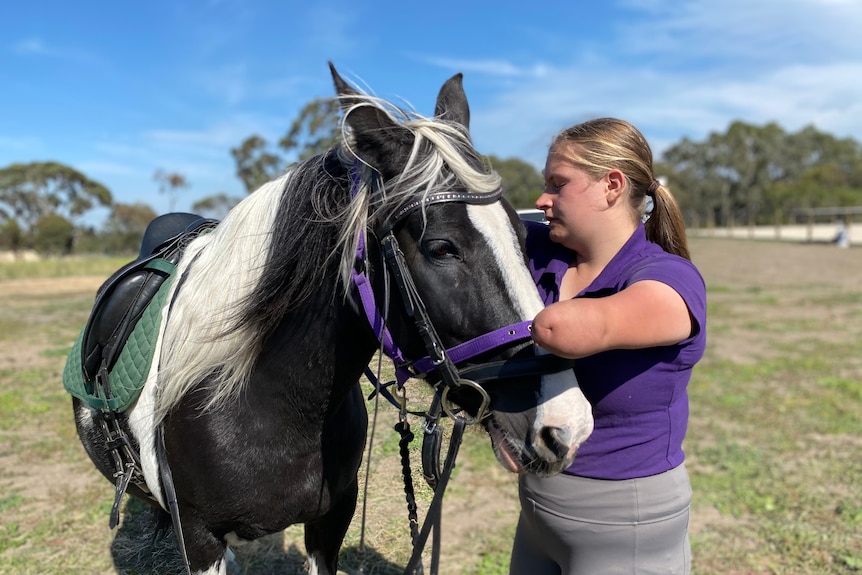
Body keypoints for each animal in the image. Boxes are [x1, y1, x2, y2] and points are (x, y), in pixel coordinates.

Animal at [71, 63, 592, 575]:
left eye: (522, 235)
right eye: (441, 248)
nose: (566, 427)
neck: (267, 405)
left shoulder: (334, 515)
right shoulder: (200, 540)